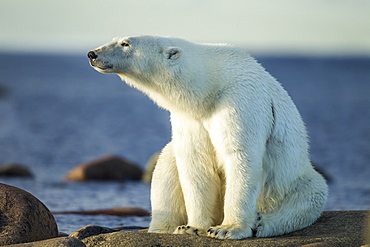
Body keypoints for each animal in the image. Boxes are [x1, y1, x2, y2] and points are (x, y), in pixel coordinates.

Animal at [88, 35, 328, 239]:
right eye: (115, 38)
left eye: (125, 43)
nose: (92, 54)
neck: (210, 86)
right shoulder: (191, 118)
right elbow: (195, 163)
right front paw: (191, 227)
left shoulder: (239, 99)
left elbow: (240, 156)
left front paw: (227, 229)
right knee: (166, 163)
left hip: (295, 180)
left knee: (305, 198)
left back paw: (262, 222)